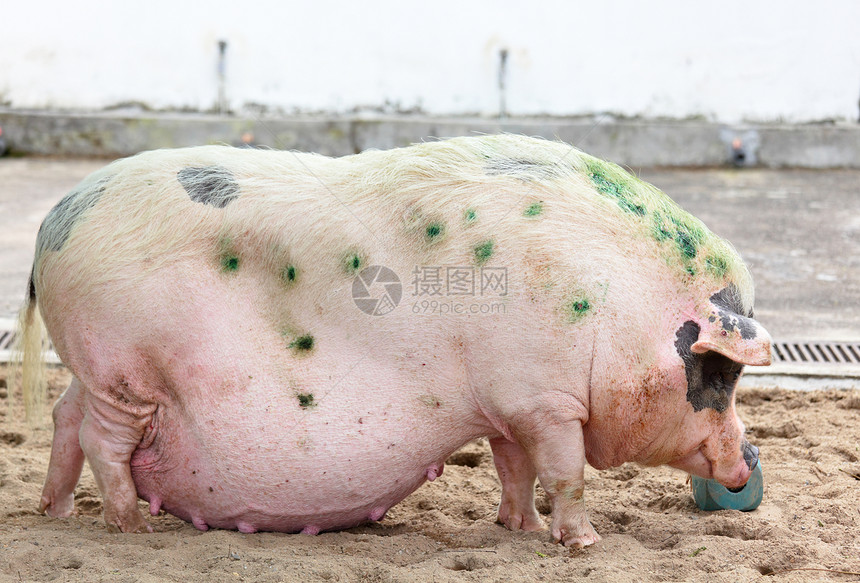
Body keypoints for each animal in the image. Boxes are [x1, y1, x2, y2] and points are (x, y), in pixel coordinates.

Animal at [18, 133, 772, 548]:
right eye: (717, 376)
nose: (747, 463)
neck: (621, 310)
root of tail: (53, 221)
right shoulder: (548, 400)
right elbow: (565, 471)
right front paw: (584, 545)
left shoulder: (508, 403)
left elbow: (515, 469)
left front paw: (521, 531)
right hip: (125, 370)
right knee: (102, 441)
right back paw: (131, 527)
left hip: (92, 369)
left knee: (62, 417)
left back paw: (54, 511)